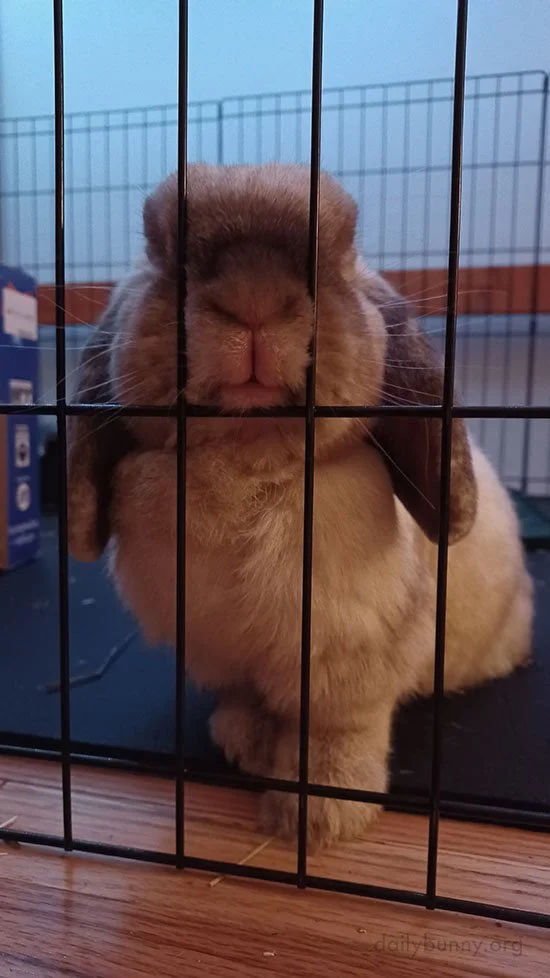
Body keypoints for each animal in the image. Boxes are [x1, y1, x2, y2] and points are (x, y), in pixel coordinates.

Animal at [67, 164, 534, 847]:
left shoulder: (347, 666)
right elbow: (247, 699)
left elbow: (335, 734)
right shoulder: (219, 647)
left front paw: (318, 817)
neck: (246, 463)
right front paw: (243, 740)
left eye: (341, 244)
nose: (254, 294)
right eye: (158, 244)